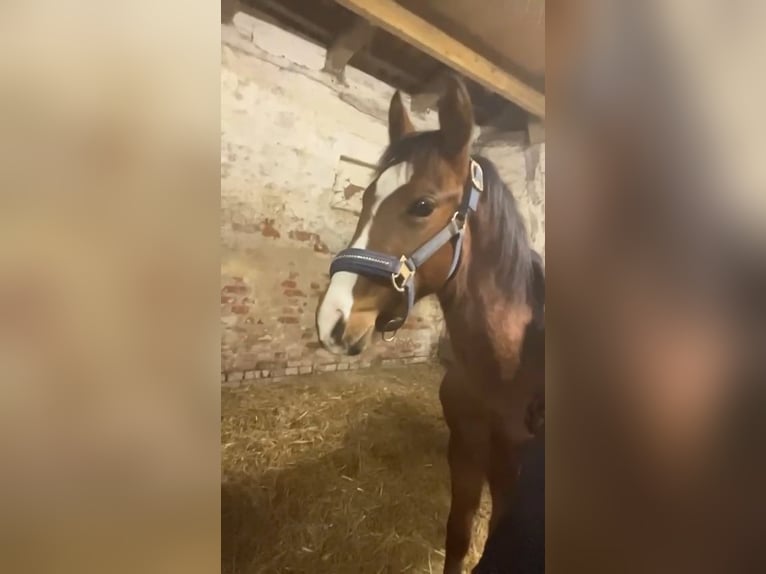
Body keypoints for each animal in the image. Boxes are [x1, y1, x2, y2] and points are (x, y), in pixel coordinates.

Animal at [315, 74, 544, 574]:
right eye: (365, 197)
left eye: (422, 205)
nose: (331, 320)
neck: (507, 366)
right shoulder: (468, 449)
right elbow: (458, 535)